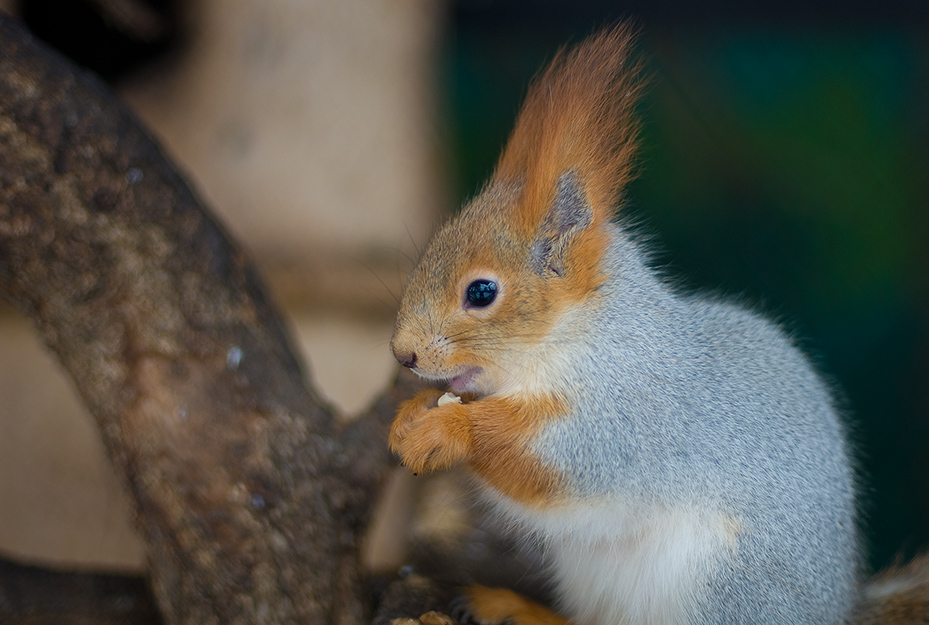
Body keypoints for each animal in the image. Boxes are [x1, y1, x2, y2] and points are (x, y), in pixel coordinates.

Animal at [386, 23, 928, 624]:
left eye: (481, 292)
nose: (403, 353)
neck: (572, 336)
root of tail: (837, 611)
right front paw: (410, 413)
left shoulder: (634, 412)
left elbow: (552, 460)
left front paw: (445, 430)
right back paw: (511, 606)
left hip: (721, 589)